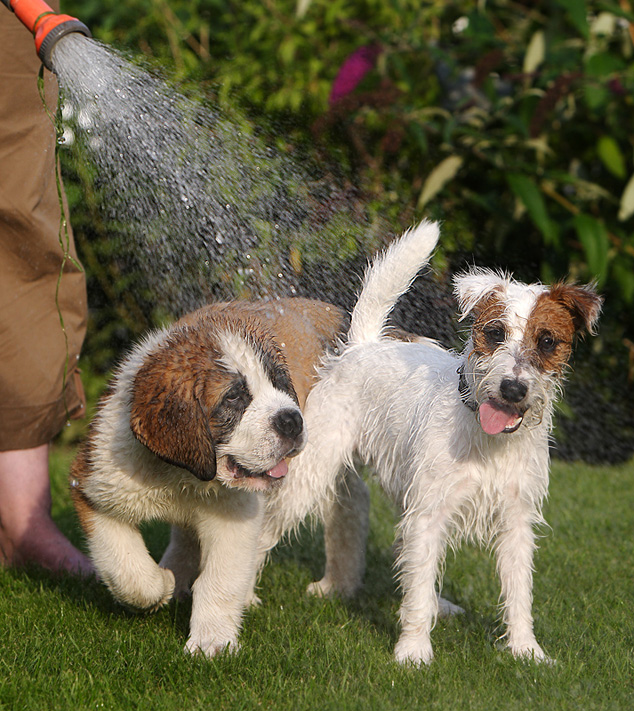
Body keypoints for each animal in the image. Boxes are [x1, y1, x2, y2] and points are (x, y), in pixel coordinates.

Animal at [70, 298, 340, 660]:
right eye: (233, 398)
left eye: (280, 383)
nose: (292, 421)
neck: (183, 476)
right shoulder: (95, 485)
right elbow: (126, 568)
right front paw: (161, 585)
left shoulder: (236, 516)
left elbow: (220, 580)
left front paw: (213, 642)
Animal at [256, 221, 596, 668]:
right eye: (495, 333)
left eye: (547, 341)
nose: (513, 388)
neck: (486, 438)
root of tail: (365, 344)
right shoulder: (429, 514)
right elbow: (416, 592)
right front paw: (413, 652)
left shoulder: (516, 523)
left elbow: (519, 594)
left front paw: (526, 651)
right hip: (310, 476)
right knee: (267, 531)